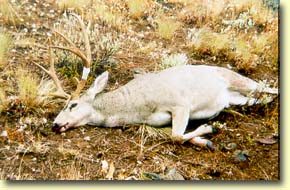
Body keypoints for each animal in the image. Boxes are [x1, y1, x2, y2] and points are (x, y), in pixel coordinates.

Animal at [34, 13, 278, 150]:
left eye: (72, 105)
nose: (55, 124)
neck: (136, 106)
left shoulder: (180, 104)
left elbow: (177, 136)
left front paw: (208, 129)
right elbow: (176, 136)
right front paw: (204, 138)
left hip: (237, 79)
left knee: (268, 87)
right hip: (237, 99)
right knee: (258, 100)